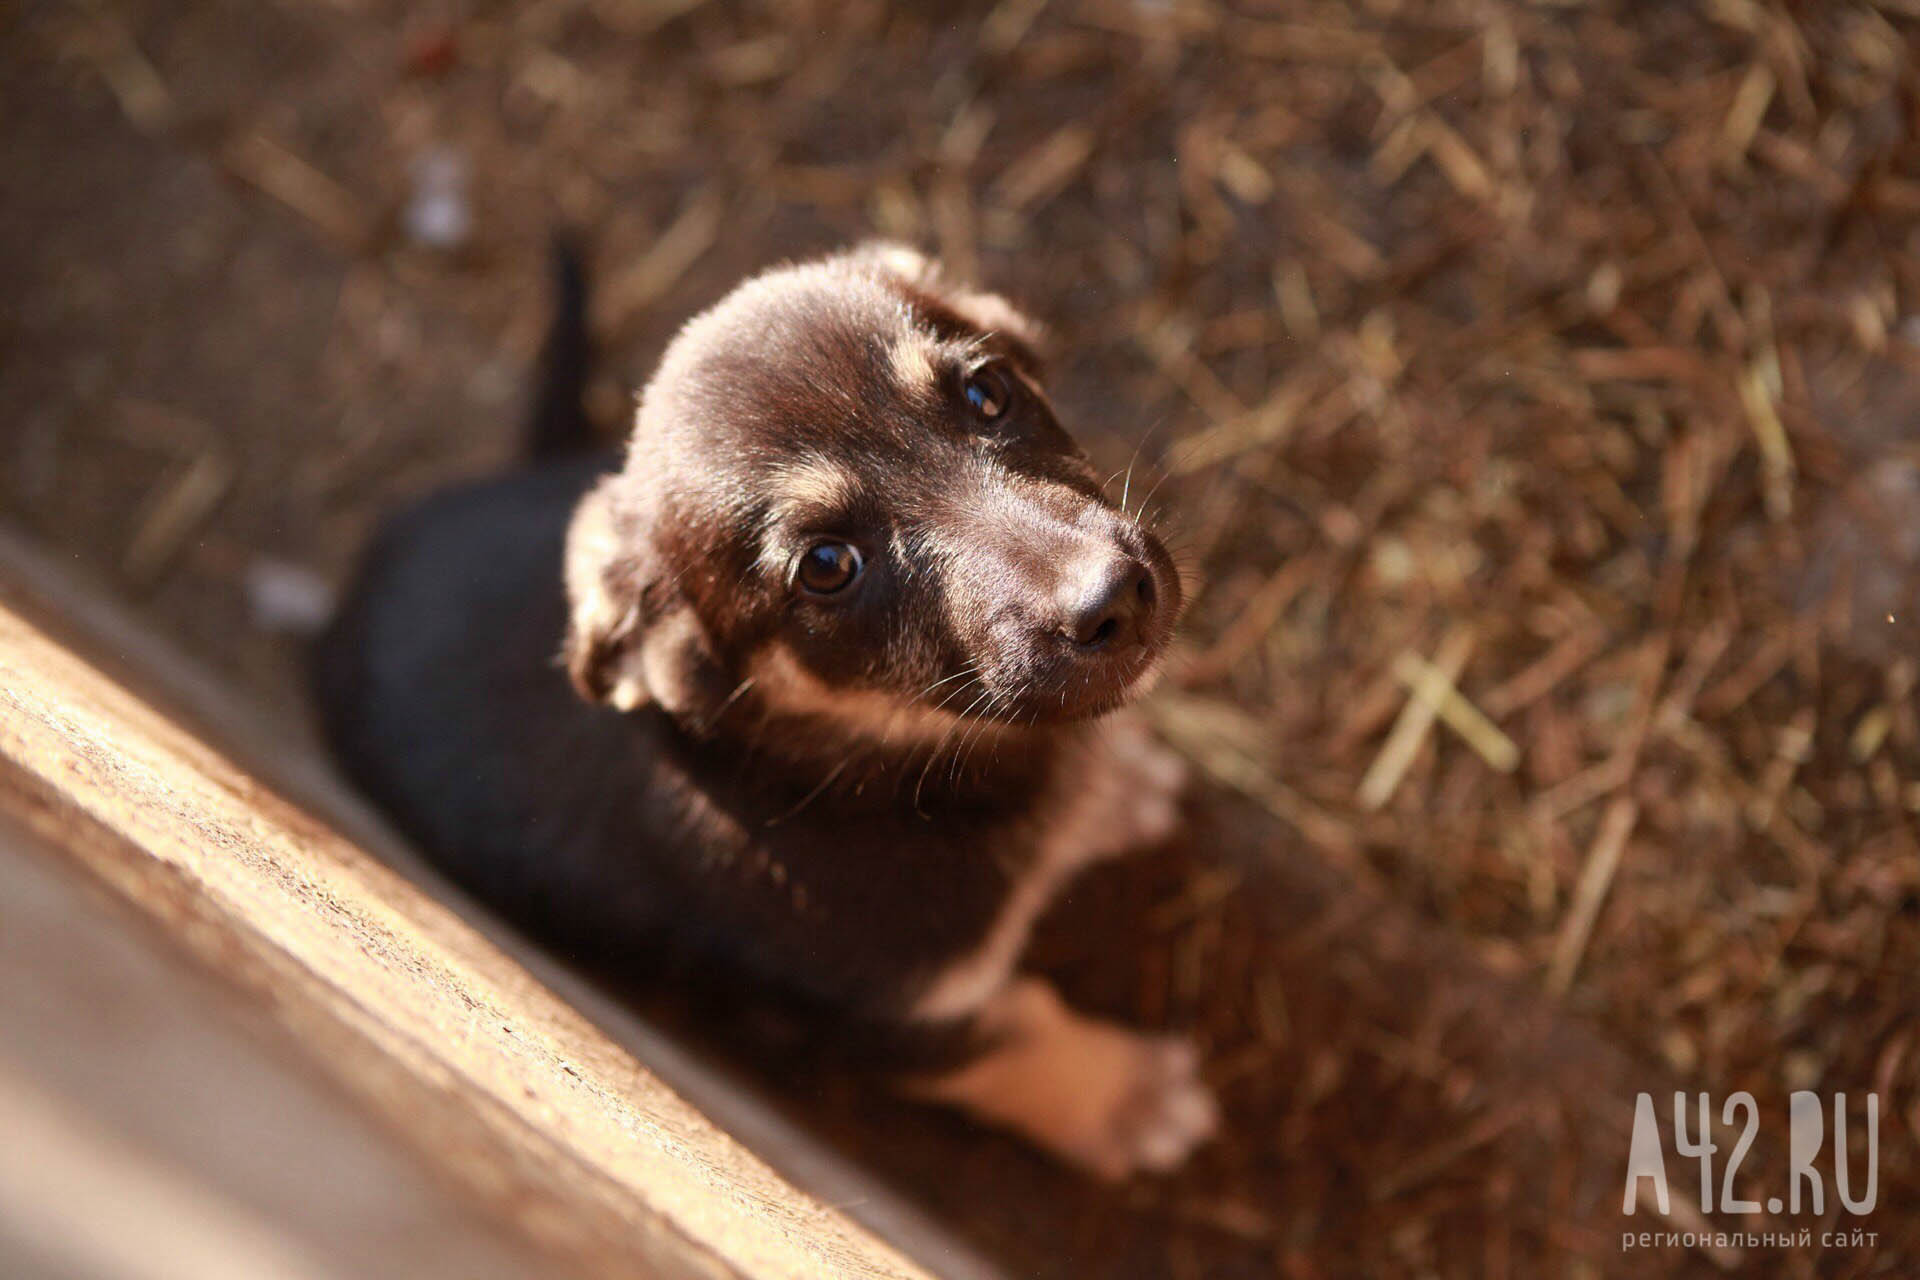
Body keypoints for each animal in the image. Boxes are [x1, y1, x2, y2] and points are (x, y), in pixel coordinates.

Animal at [314, 239, 1213, 1182]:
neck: (861, 770)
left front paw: (1115, 791)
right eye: (826, 566)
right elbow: (1019, 1037)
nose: (1112, 598)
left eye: (988, 391)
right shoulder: (883, 1018)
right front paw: (1128, 1099)